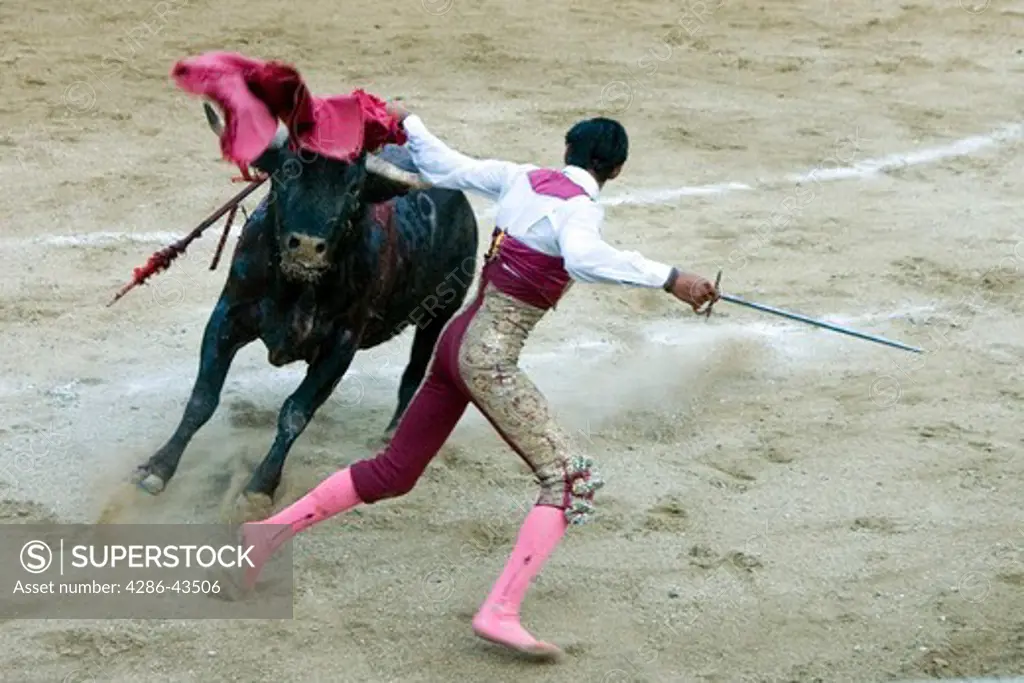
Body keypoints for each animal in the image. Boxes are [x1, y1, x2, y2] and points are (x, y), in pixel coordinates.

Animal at [130, 101, 477, 520]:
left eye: (354, 187)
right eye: (285, 172)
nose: (308, 247)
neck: (295, 287)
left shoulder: (340, 347)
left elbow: (295, 413)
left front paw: (259, 489)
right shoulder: (227, 316)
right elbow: (202, 398)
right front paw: (158, 467)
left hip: (441, 310)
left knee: (416, 369)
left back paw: (393, 433)